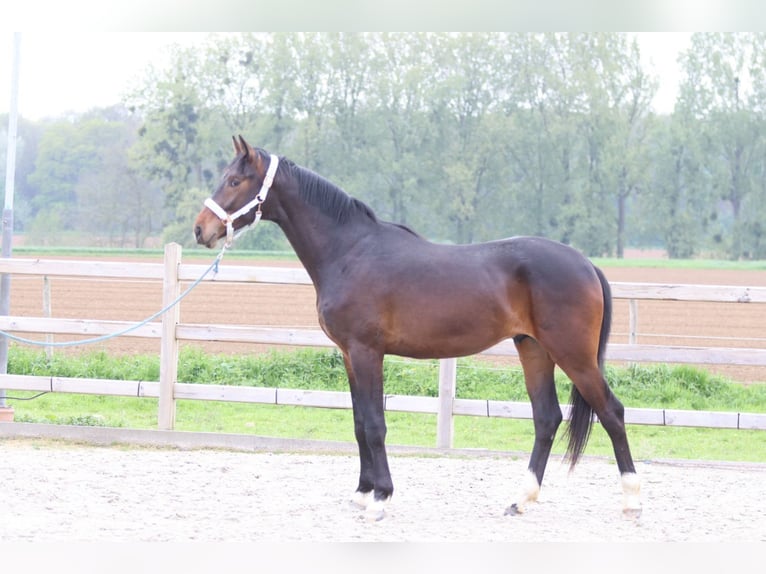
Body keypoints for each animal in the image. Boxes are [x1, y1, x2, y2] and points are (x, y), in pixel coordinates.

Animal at [194, 135, 642, 521]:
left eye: (234, 180)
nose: (201, 229)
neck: (350, 251)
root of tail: (585, 263)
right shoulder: (349, 355)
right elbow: (359, 423)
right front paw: (362, 493)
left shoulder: (367, 351)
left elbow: (375, 424)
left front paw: (380, 498)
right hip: (532, 348)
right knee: (546, 418)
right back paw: (520, 499)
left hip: (573, 354)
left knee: (612, 412)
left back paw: (632, 500)